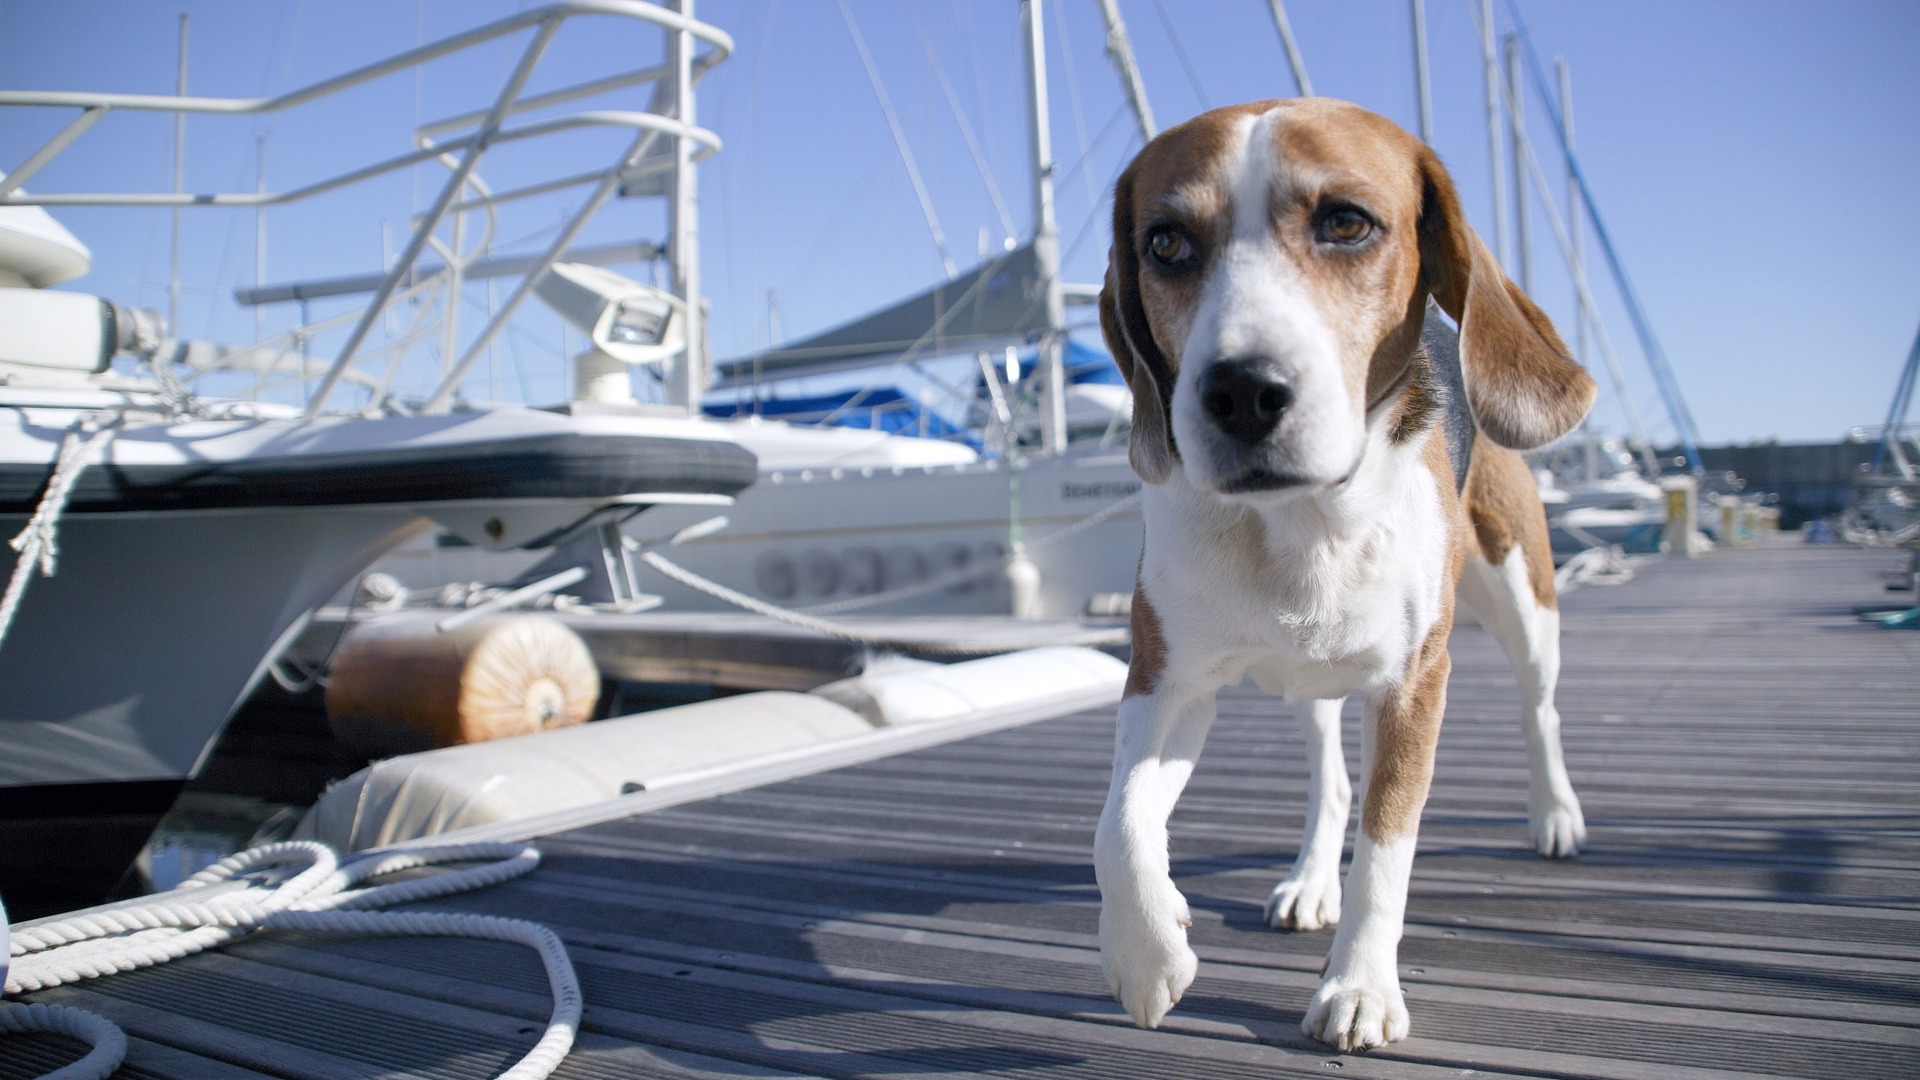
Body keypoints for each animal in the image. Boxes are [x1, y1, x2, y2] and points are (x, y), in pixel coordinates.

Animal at [1090, 98, 1597, 1045]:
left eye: (1347, 223)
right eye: (1166, 243)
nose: (1242, 392)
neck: (1299, 524)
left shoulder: (1413, 685)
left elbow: (1387, 847)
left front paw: (1359, 986)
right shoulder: (1166, 680)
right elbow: (1120, 825)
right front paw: (1146, 953)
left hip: (1525, 603)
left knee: (1538, 709)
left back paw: (1553, 814)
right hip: (1307, 682)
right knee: (1328, 783)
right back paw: (1309, 879)